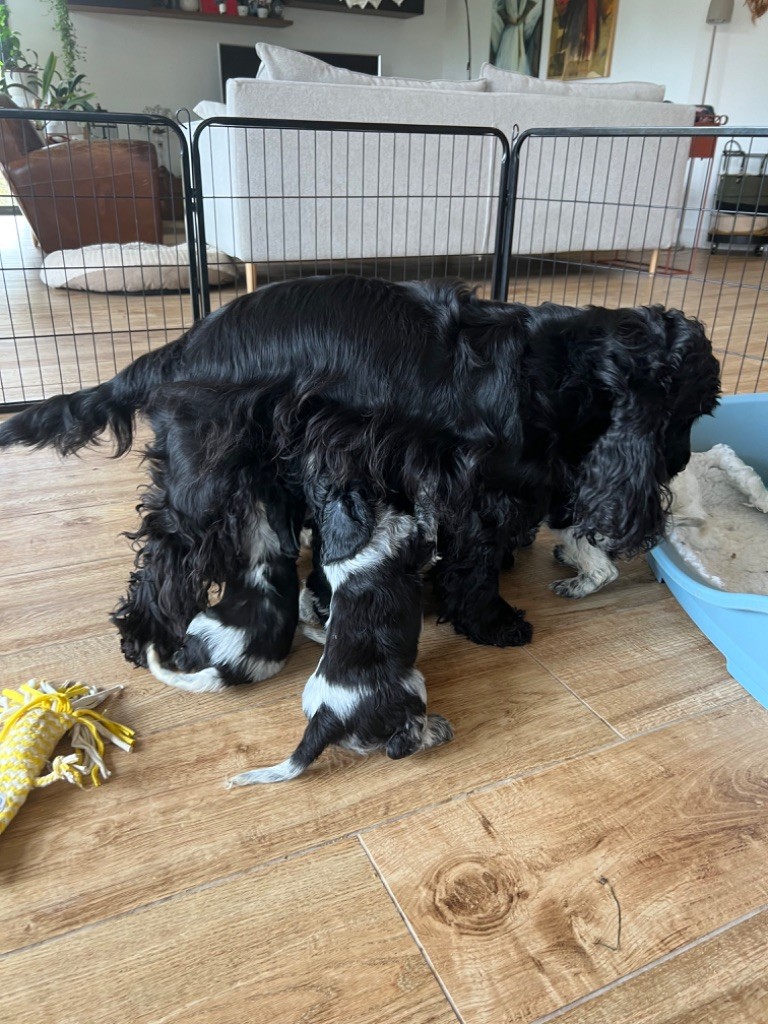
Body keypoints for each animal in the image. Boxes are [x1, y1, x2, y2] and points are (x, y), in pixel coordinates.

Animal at [225, 483, 454, 786]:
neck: (349, 549)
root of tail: (326, 717)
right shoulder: (418, 544)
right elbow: (426, 515)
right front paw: (426, 486)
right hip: (411, 686)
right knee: (399, 745)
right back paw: (437, 730)